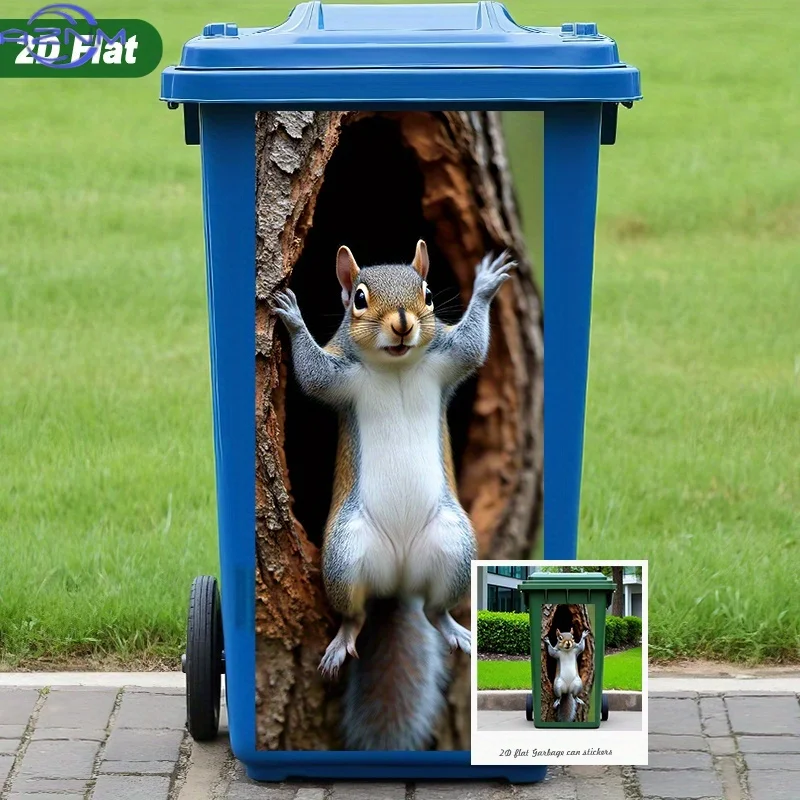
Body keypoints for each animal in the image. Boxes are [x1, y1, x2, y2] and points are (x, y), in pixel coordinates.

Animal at [272, 240, 515, 750]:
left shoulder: (449, 359)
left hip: (454, 546)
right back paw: (344, 638)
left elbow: (473, 344)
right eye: (359, 298)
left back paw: (453, 629)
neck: (397, 366)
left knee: (433, 609)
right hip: (345, 555)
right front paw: (293, 317)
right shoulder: (337, 378)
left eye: (427, 292)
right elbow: (312, 372)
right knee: (356, 614)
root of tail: (397, 583)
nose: (403, 322)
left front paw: (485, 285)